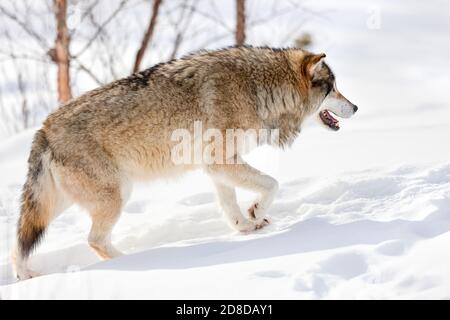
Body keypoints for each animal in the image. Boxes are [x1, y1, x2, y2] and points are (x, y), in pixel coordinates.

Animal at [12, 46, 356, 278]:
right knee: (94, 240)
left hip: (59, 205)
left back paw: (24, 277)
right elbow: (272, 183)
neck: (258, 89)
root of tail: (43, 129)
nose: (355, 107)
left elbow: (231, 205)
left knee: (18, 245)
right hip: (116, 195)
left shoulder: (217, 167)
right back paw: (136, 261)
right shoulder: (222, 162)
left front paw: (246, 227)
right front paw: (256, 212)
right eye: (334, 88)